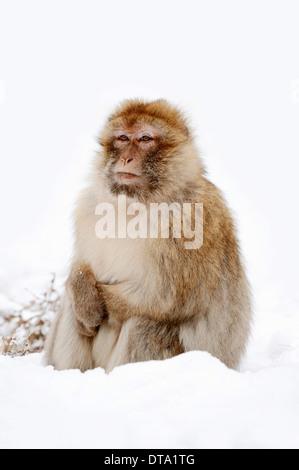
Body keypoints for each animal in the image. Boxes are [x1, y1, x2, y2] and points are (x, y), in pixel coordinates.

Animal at [45, 100, 253, 374]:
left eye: (145, 138)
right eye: (122, 138)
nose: (126, 157)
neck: (134, 204)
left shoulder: (191, 222)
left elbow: (163, 299)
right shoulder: (87, 209)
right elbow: (80, 268)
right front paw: (85, 300)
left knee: (145, 325)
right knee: (71, 306)